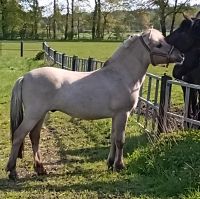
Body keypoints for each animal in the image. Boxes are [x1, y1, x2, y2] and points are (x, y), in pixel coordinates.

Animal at [6, 28, 184, 180]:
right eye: (159, 44)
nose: (181, 55)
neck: (121, 75)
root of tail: (24, 77)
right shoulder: (122, 114)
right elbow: (120, 141)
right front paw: (120, 166)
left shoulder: (116, 116)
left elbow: (113, 138)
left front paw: (110, 163)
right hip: (33, 114)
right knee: (19, 135)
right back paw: (12, 171)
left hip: (41, 114)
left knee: (34, 136)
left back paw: (40, 169)